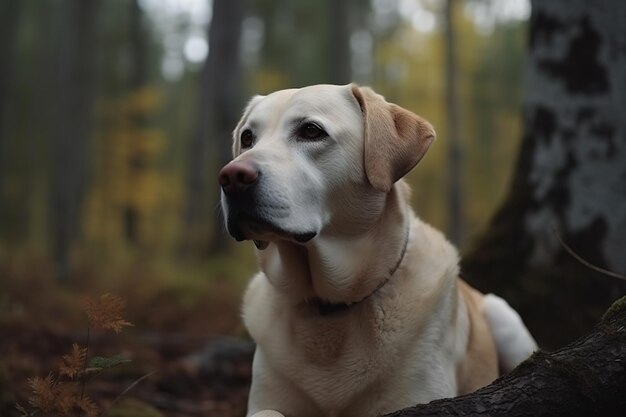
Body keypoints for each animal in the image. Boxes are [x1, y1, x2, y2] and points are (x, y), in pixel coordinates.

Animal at [217, 84, 532, 416]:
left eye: (311, 131)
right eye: (247, 138)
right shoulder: (264, 399)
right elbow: (269, 411)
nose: (232, 177)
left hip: (504, 318)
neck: (329, 307)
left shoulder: (418, 399)